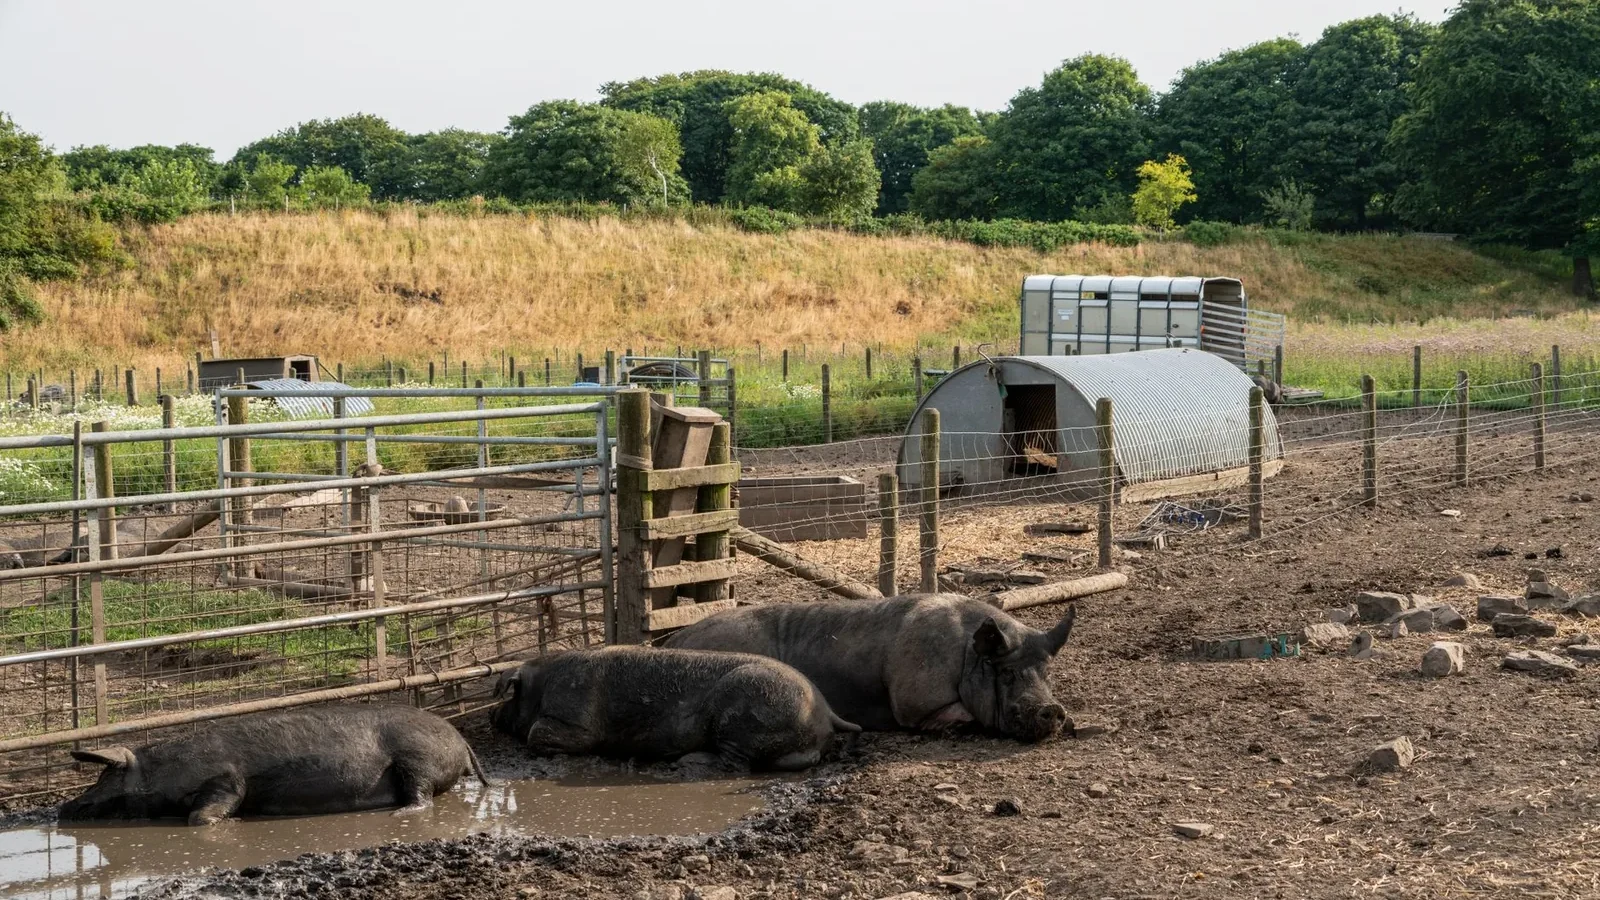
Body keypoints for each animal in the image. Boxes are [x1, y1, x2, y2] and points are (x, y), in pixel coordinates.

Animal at [59, 703, 488, 825]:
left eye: (106, 775)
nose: (65, 807)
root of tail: (461, 738)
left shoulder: (226, 779)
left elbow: (205, 813)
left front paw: (226, 823)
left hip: (418, 760)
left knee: (422, 796)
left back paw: (397, 814)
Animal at [489, 646, 860, 771]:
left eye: (508, 695)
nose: (491, 716)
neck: (542, 685)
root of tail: (825, 713)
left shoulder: (575, 723)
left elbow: (538, 734)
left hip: (743, 715)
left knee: (734, 764)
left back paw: (685, 763)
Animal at [664, 594, 1077, 743]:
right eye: (1006, 674)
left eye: (1047, 673)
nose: (1052, 710)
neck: (967, 656)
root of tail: (674, 640)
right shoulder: (913, 702)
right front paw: (957, 726)